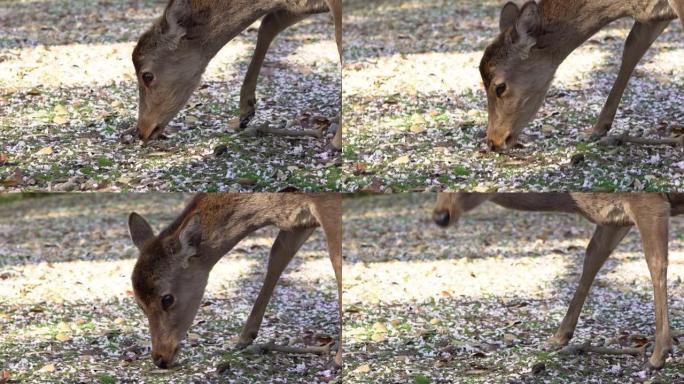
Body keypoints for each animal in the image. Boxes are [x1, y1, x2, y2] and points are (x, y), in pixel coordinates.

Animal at [125, 194, 342, 370]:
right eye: (139, 304)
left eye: (167, 299)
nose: (159, 358)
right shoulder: (298, 222)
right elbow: (277, 256)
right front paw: (244, 337)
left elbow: (337, 263)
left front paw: (338, 359)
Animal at [432, 194, 684, 370]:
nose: (440, 216)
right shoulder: (614, 219)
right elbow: (591, 258)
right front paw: (558, 337)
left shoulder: (651, 203)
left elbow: (656, 265)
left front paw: (658, 355)